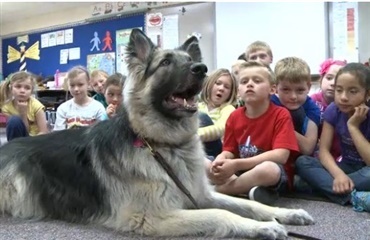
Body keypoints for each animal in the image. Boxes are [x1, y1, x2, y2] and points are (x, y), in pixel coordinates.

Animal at [0, 29, 314, 239]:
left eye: (189, 59)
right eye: (165, 63)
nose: (201, 68)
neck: (161, 143)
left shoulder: (200, 194)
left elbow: (248, 204)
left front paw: (285, 214)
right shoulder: (154, 217)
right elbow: (222, 214)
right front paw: (262, 227)